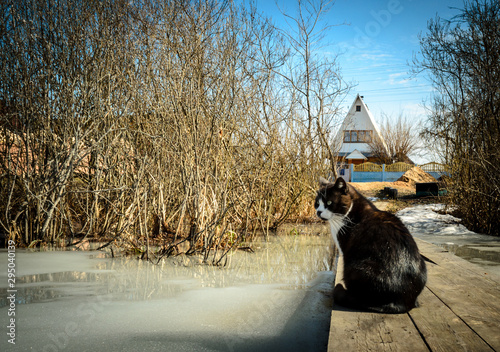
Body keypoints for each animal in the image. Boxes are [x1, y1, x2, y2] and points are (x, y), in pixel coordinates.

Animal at [316, 176, 426, 314]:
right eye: (317, 203)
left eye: (329, 203)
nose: (318, 212)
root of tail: (402, 303)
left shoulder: (345, 250)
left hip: (356, 267)